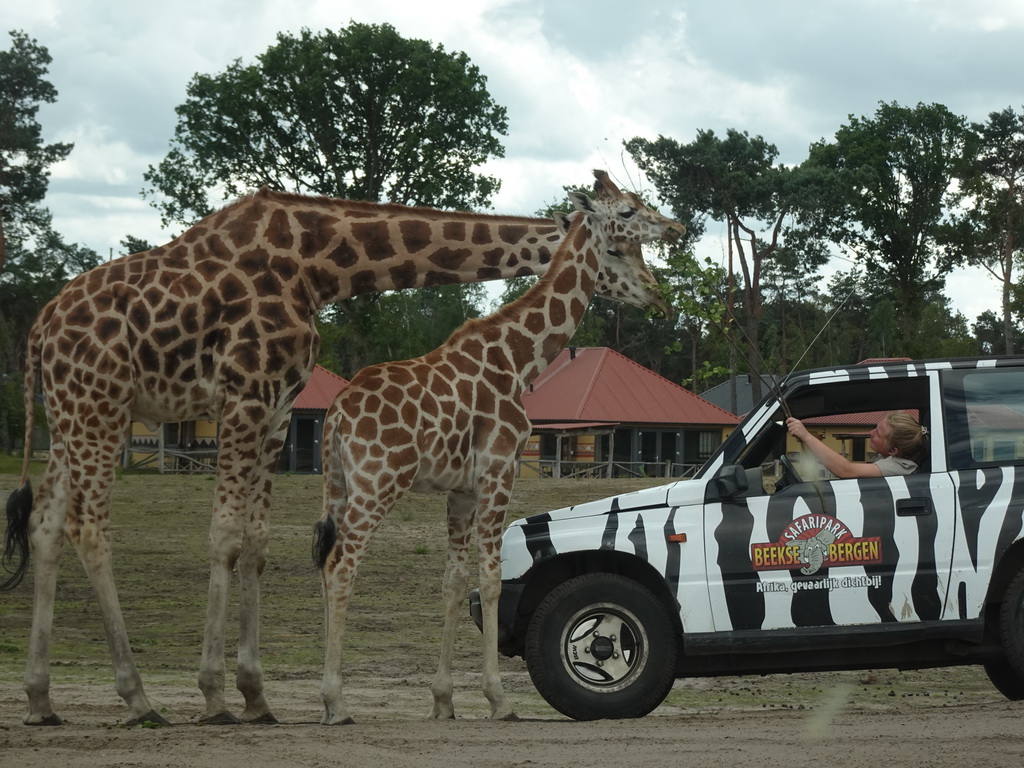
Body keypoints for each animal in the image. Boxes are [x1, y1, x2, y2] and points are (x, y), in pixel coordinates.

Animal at [0, 186, 647, 729]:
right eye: (630, 224)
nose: (656, 290)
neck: (319, 264)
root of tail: (38, 331)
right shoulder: (251, 397)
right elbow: (228, 536)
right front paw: (216, 695)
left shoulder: (284, 408)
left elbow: (260, 543)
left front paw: (256, 695)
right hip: (105, 410)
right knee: (94, 529)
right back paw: (146, 698)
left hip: (71, 417)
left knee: (46, 525)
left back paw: (40, 699)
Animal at [309, 169, 679, 729]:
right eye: (626, 218)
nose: (678, 228)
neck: (518, 359)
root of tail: (335, 416)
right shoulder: (499, 469)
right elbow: (491, 580)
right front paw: (499, 700)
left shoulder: (460, 489)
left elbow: (454, 581)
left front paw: (443, 701)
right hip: (378, 482)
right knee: (340, 567)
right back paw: (335, 702)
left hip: (337, 482)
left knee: (324, 563)